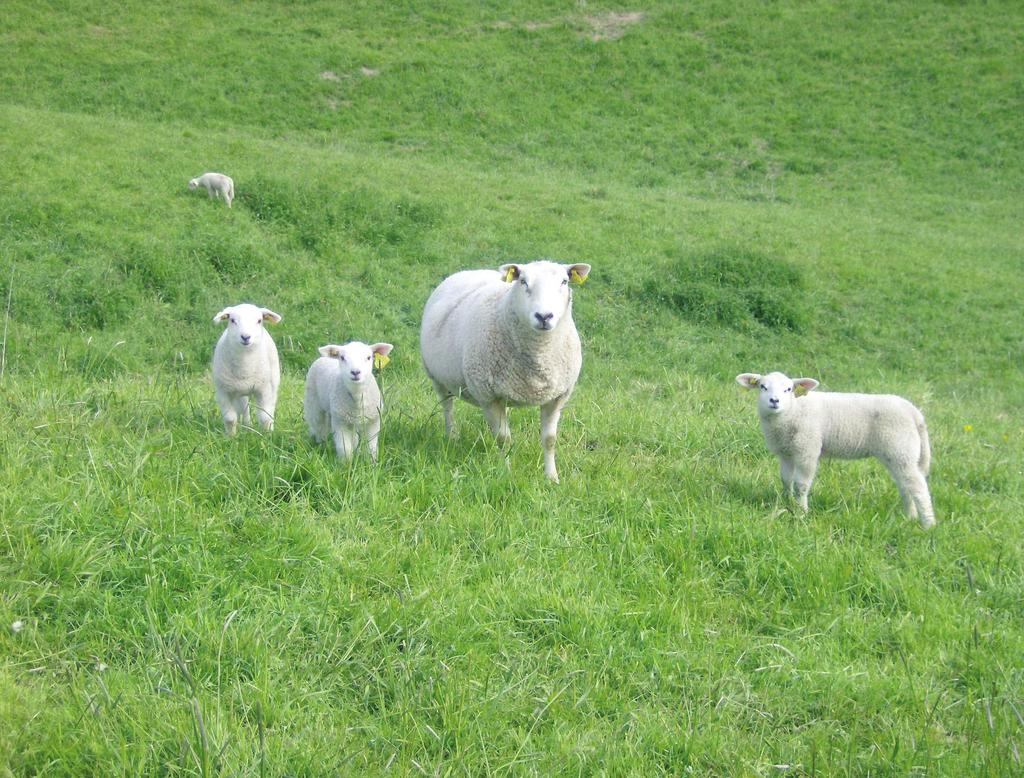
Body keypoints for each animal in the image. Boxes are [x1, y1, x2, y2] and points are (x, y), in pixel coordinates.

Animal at [211, 305, 282, 438]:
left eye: (259, 320)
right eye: (232, 320)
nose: (245, 337)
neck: (245, 366)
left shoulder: (264, 390)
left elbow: (264, 417)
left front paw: (266, 437)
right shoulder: (223, 392)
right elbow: (230, 419)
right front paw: (230, 438)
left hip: (273, 382)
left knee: (270, 408)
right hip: (240, 391)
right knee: (244, 409)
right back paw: (247, 427)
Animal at [417, 260, 593, 481]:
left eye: (564, 281)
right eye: (523, 281)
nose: (544, 316)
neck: (540, 354)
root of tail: (471, 271)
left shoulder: (557, 397)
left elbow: (550, 439)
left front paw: (552, 478)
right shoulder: (488, 397)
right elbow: (503, 438)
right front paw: (506, 473)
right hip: (437, 377)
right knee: (447, 407)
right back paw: (452, 437)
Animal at [737, 370, 937, 528]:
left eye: (788, 389)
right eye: (762, 387)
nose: (774, 401)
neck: (793, 411)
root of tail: (914, 413)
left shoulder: (807, 449)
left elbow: (801, 485)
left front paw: (802, 512)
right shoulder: (785, 452)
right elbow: (786, 480)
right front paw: (787, 503)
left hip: (901, 450)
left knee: (918, 487)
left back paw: (928, 525)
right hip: (895, 455)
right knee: (905, 486)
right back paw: (909, 517)